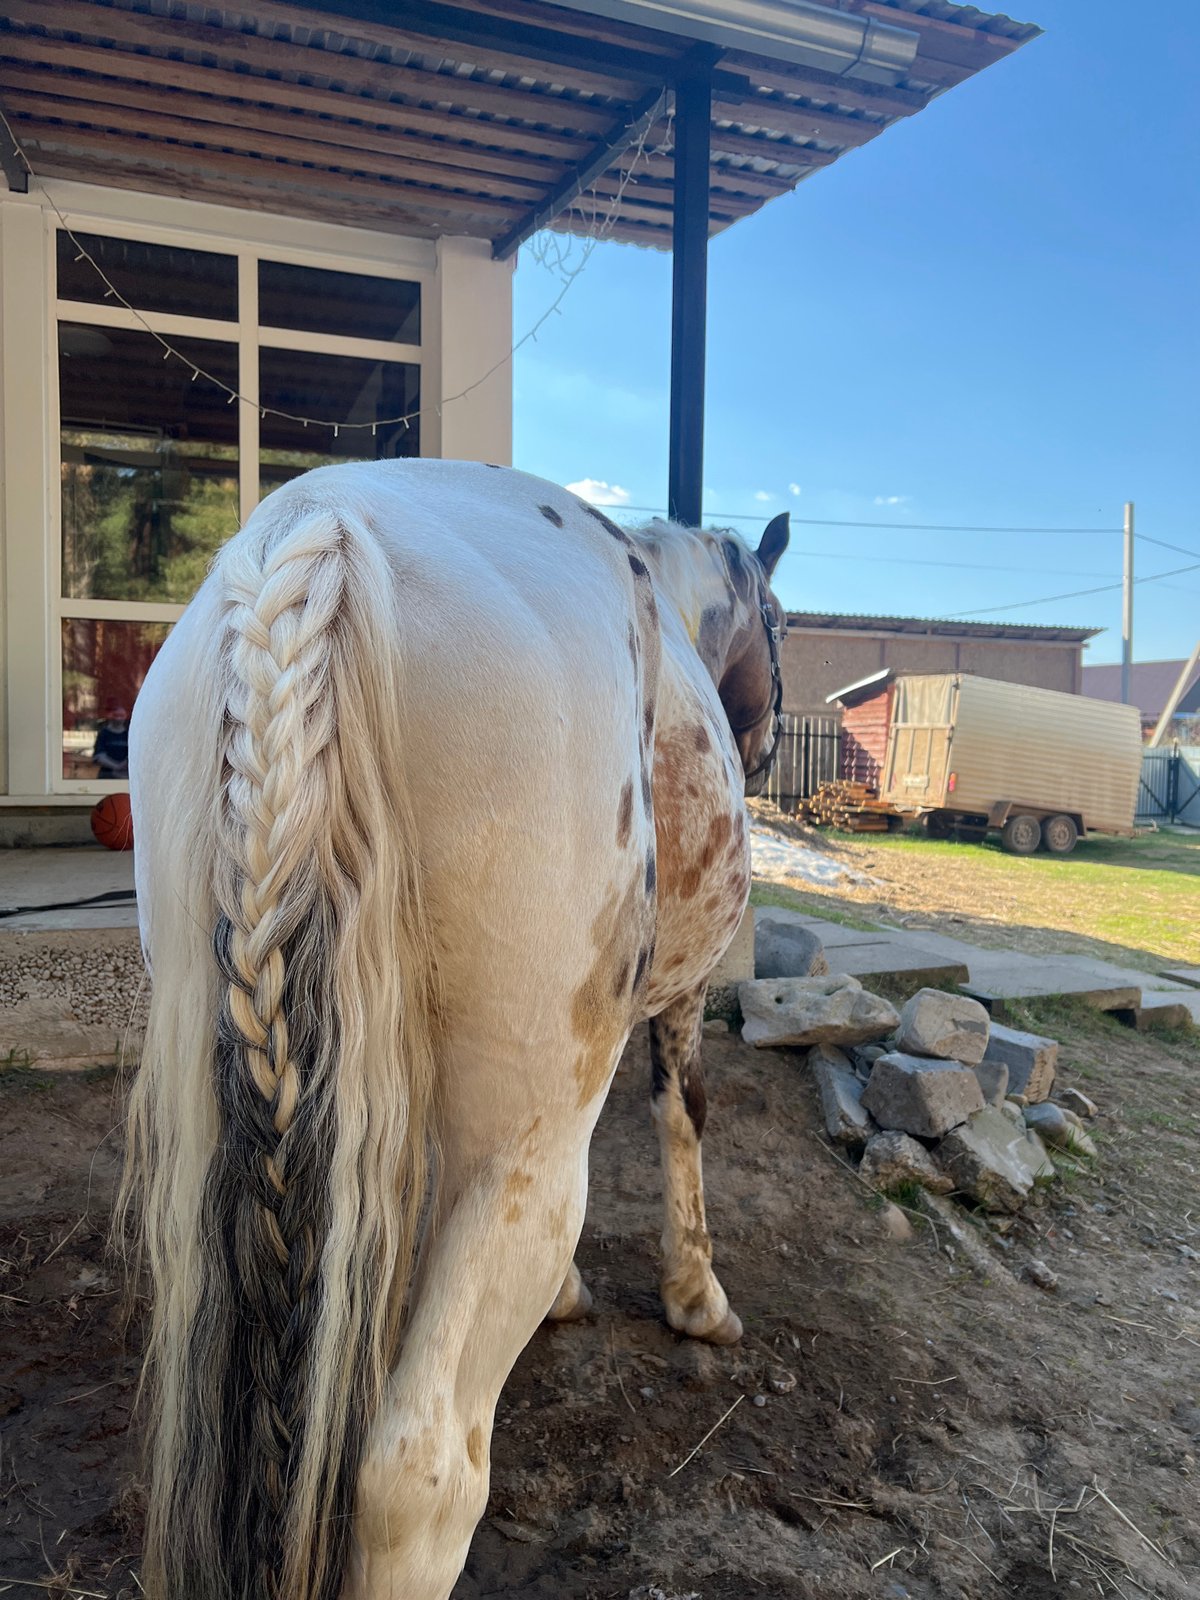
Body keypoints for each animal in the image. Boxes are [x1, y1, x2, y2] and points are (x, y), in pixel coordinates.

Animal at [123, 457, 789, 1600]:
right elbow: (683, 1114)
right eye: (781, 628)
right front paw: (694, 1294)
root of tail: (316, 533)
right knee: (416, 1476)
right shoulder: (671, 1004)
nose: (767, 737)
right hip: (523, 1148)